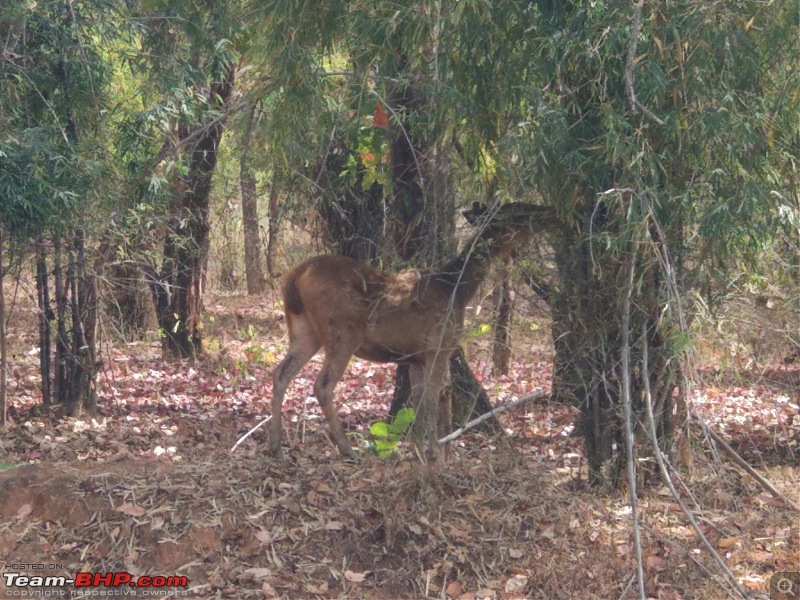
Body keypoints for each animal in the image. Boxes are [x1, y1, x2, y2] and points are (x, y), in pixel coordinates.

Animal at [268, 202, 556, 460]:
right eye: (517, 211)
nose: (547, 212)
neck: (457, 289)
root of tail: (295, 277)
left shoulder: (415, 358)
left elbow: (418, 407)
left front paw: (419, 450)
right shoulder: (438, 347)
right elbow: (432, 402)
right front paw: (436, 454)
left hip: (304, 331)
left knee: (281, 373)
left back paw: (276, 447)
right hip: (342, 332)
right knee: (323, 384)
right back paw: (347, 449)